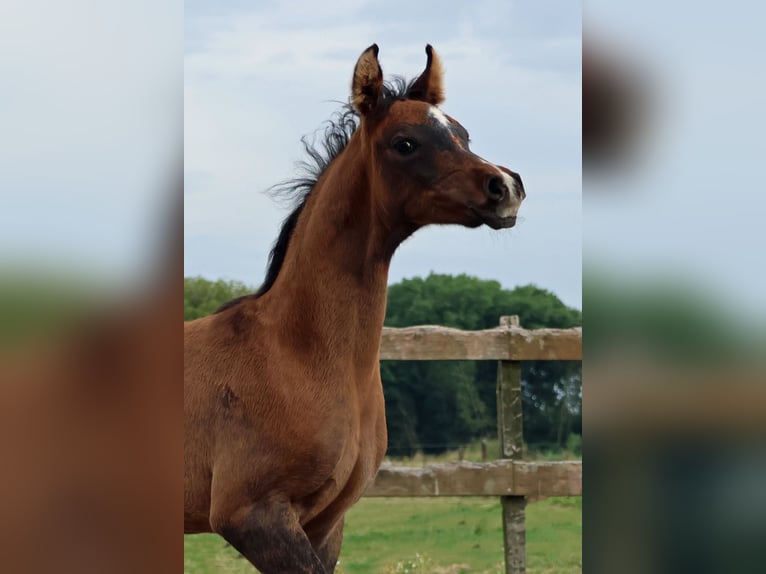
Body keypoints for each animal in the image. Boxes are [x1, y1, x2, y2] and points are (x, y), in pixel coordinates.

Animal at [183, 44, 524, 572]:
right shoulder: (251, 516)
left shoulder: (326, 525)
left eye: (462, 133)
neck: (296, 354)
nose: (506, 186)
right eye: (405, 143)